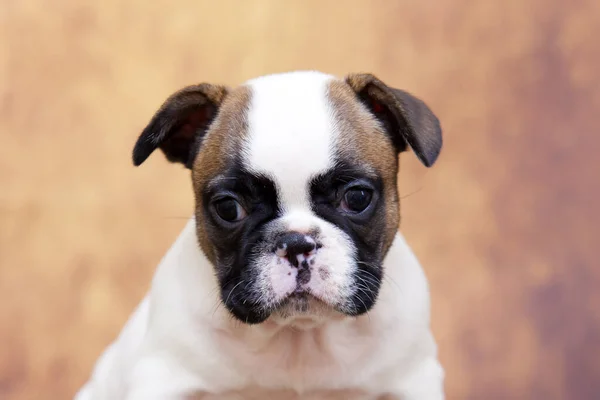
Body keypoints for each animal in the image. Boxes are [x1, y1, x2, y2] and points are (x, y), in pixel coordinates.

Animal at [75, 70, 446, 398]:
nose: (296, 243)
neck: (298, 333)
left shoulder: (415, 381)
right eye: (228, 207)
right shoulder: (162, 378)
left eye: (357, 198)